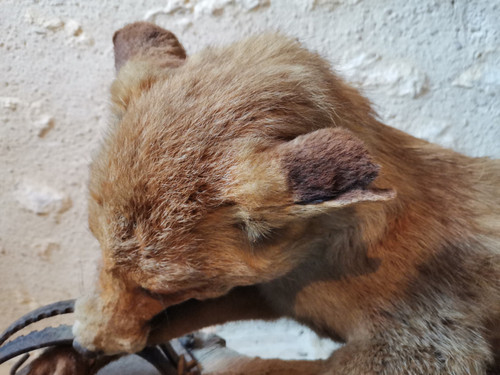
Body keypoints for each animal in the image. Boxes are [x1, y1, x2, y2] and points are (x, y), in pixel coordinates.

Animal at [43, 22, 500, 374]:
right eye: (98, 245)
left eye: (161, 288)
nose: (84, 346)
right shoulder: (263, 290)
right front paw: (73, 341)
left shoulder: (425, 345)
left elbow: (274, 368)